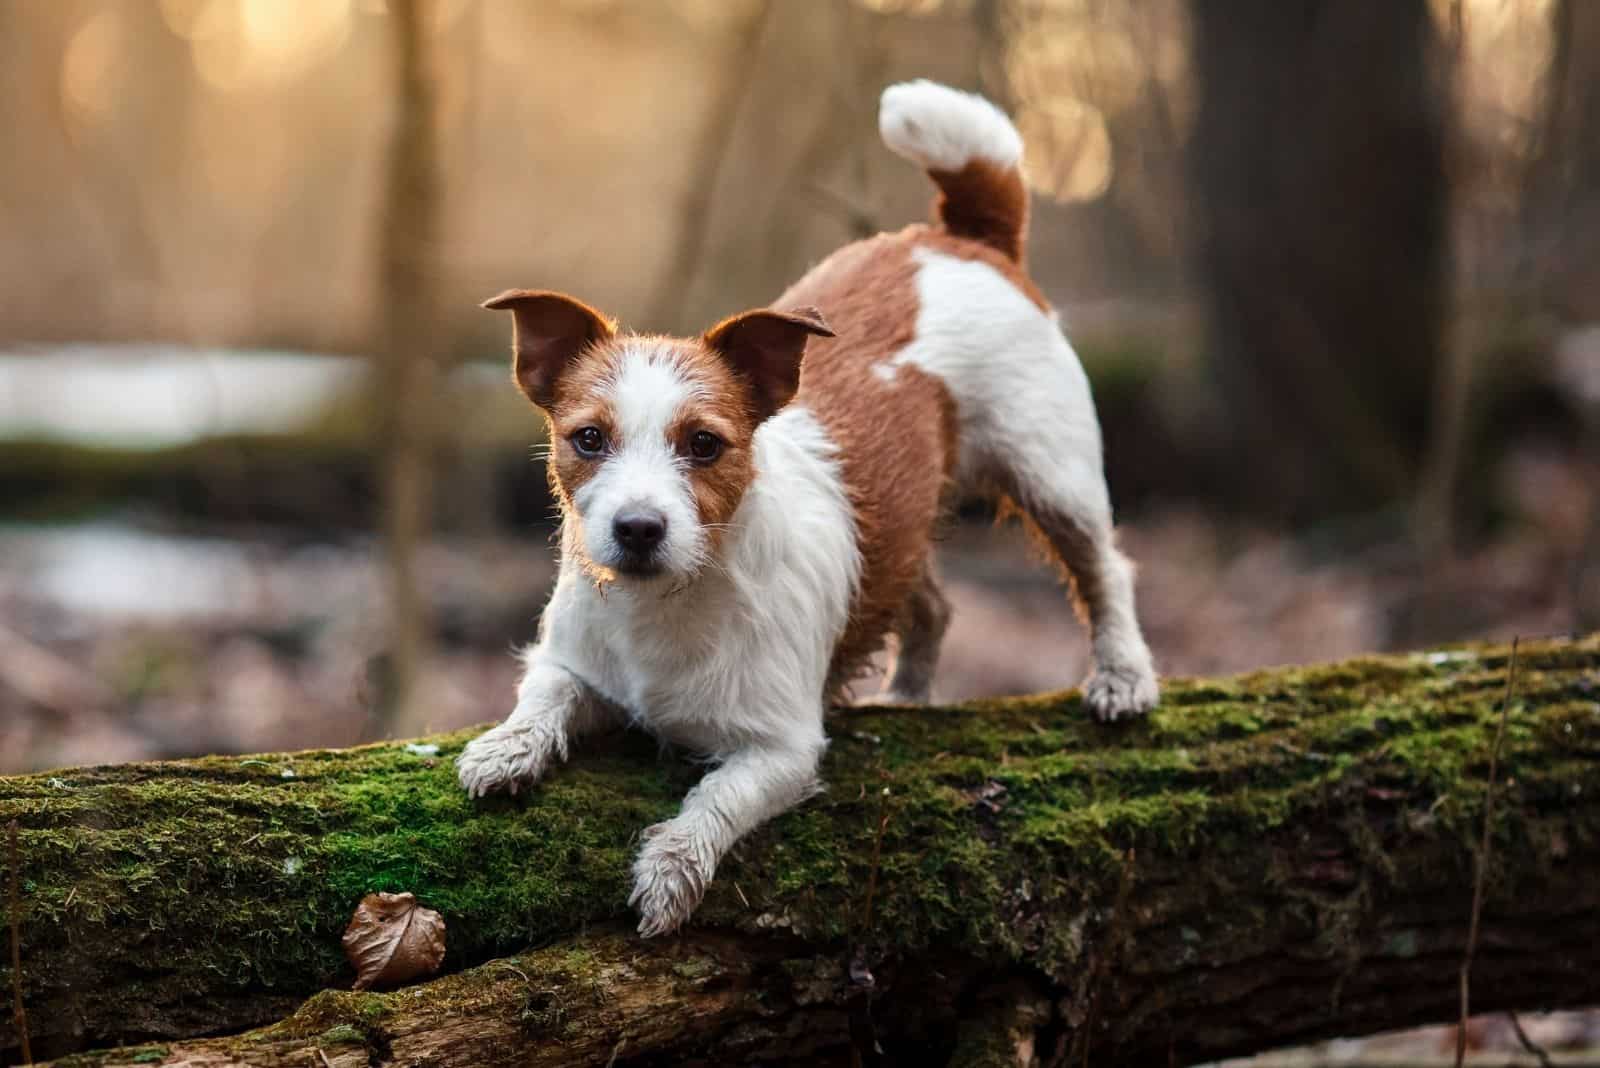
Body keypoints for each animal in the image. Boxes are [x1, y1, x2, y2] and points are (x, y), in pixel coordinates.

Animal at [457, 81, 1158, 933]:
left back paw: (1122, 675)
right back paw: (908, 697)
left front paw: (670, 869)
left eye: (705, 444)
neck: (671, 604)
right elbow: (545, 693)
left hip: (1051, 472)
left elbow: (718, 796)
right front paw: (507, 748)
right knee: (931, 605)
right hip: (904, 522)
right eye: (588, 438)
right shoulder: (572, 663)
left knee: (1103, 569)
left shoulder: (781, 750)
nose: (638, 528)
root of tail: (961, 238)